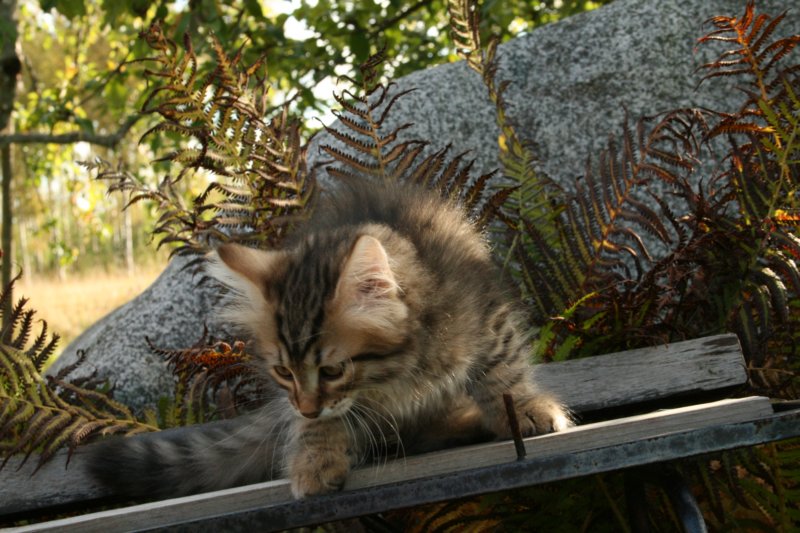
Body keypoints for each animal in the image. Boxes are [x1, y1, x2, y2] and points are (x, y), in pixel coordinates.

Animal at [85, 177, 571, 499]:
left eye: (333, 370)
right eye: (283, 372)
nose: (305, 405)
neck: (401, 370)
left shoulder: (485, 316)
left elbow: (502, 370)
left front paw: (525, 409)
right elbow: (320, 426)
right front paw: (314, 458)